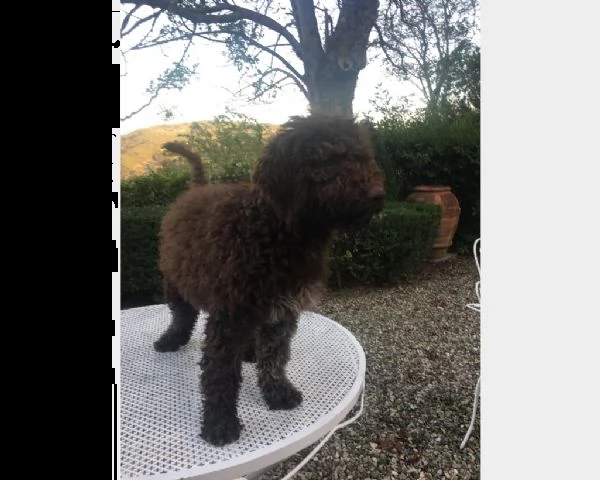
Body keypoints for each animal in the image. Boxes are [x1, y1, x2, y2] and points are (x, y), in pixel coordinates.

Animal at [155, 113, 384, 446]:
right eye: (329, 158)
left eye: (363, 157)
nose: (378, 195)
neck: (277, 231)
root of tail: (196, 188)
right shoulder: (230, 314)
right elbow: (221, 372)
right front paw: (220, 422)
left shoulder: (283, 309)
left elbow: (275, 356)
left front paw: (277, 392)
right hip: (175, 280)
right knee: (182, 315)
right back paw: (172, 339)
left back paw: (249, 350)